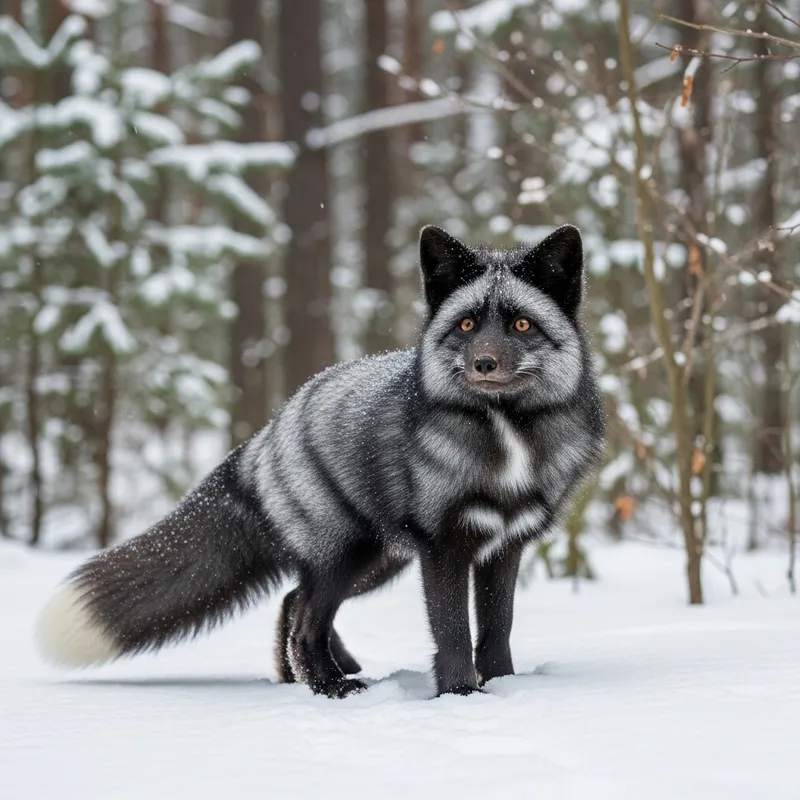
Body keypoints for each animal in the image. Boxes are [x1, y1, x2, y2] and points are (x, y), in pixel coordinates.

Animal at [37, 223, 605, 698]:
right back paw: (330, 688)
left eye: (522, 324)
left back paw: (303, 678)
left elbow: (496, 630)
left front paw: (505, 689)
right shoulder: (443, 546)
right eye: (466, 324)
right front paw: (462, 696)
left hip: (380, 560)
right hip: (346, 555)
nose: (484, 363)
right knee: (305, 618)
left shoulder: (504, 545)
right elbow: (452, 632)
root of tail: (269, 429)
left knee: (292, 602)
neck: (506, 437)